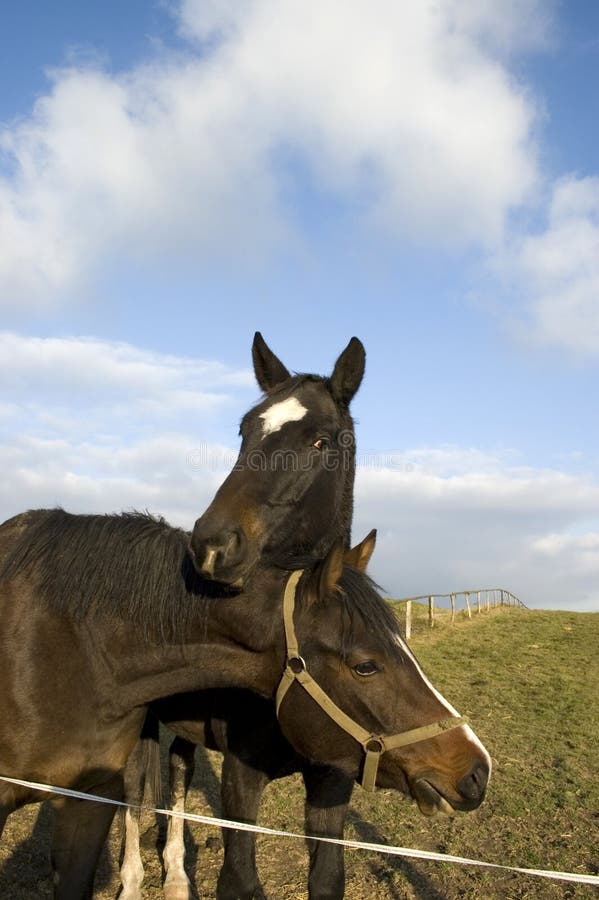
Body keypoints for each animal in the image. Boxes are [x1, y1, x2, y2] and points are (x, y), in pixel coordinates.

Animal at [0, 510, 492, 896]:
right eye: (366, 666)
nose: (477, 771)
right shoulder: (241, 776)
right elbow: (239, 881)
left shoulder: (331, 777)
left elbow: (327, 879)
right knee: (137, 793)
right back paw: (134, 881)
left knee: (178, 773)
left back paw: (177, 878)